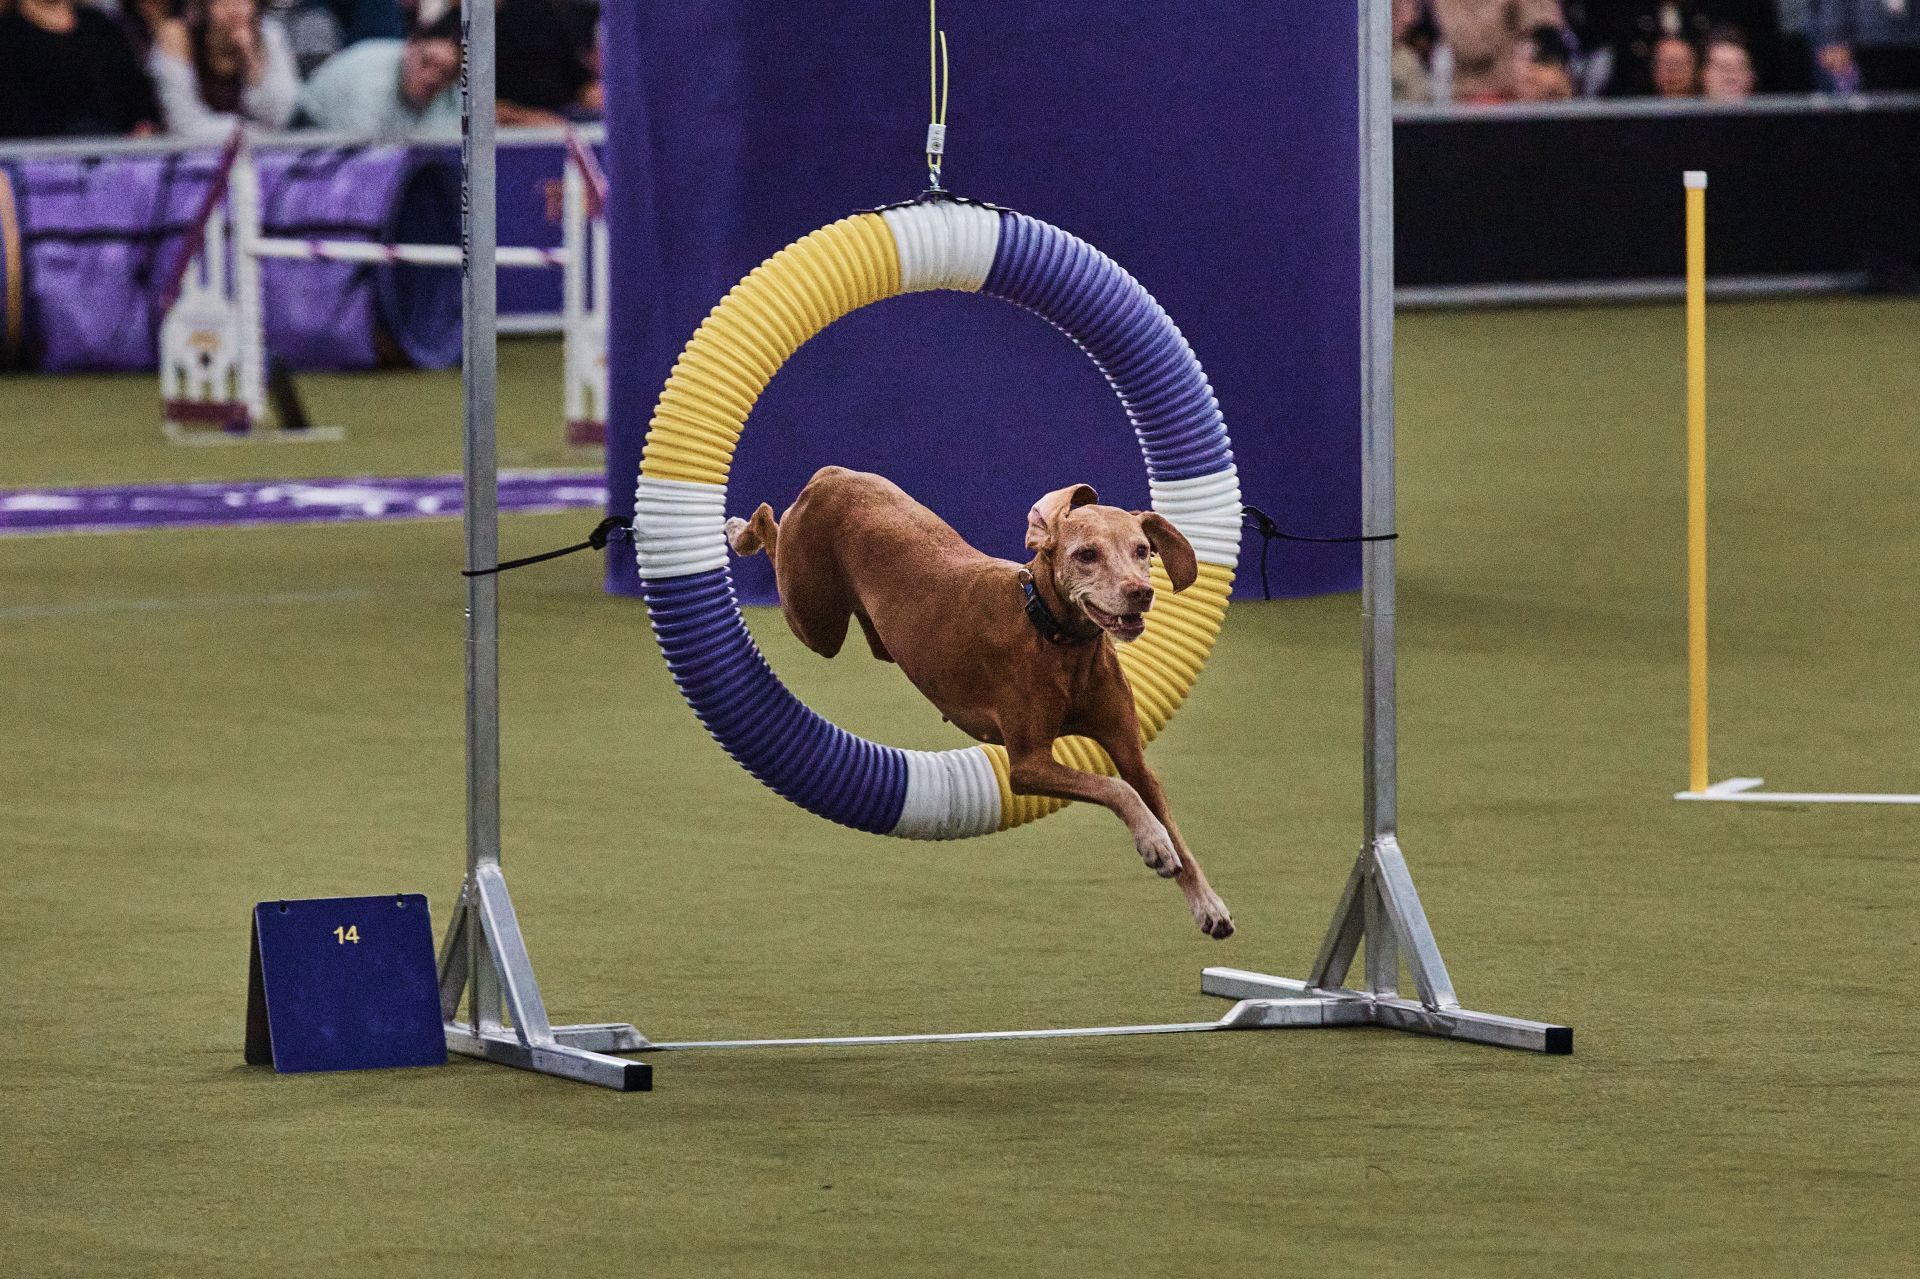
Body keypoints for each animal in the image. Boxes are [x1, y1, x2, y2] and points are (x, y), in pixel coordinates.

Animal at [725, 466, 1236, 937]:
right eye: (1086, 554)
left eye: (1142, 551)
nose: (1141, 592)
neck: (1056, 637)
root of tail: (831, 475)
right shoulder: (1028, 764)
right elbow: (1115, 789)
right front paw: (1153, 843)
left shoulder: (1130, 751)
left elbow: (1158, 811)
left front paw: (1207, 903)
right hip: (813, 618)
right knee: (770, 524)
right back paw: (739, 530)